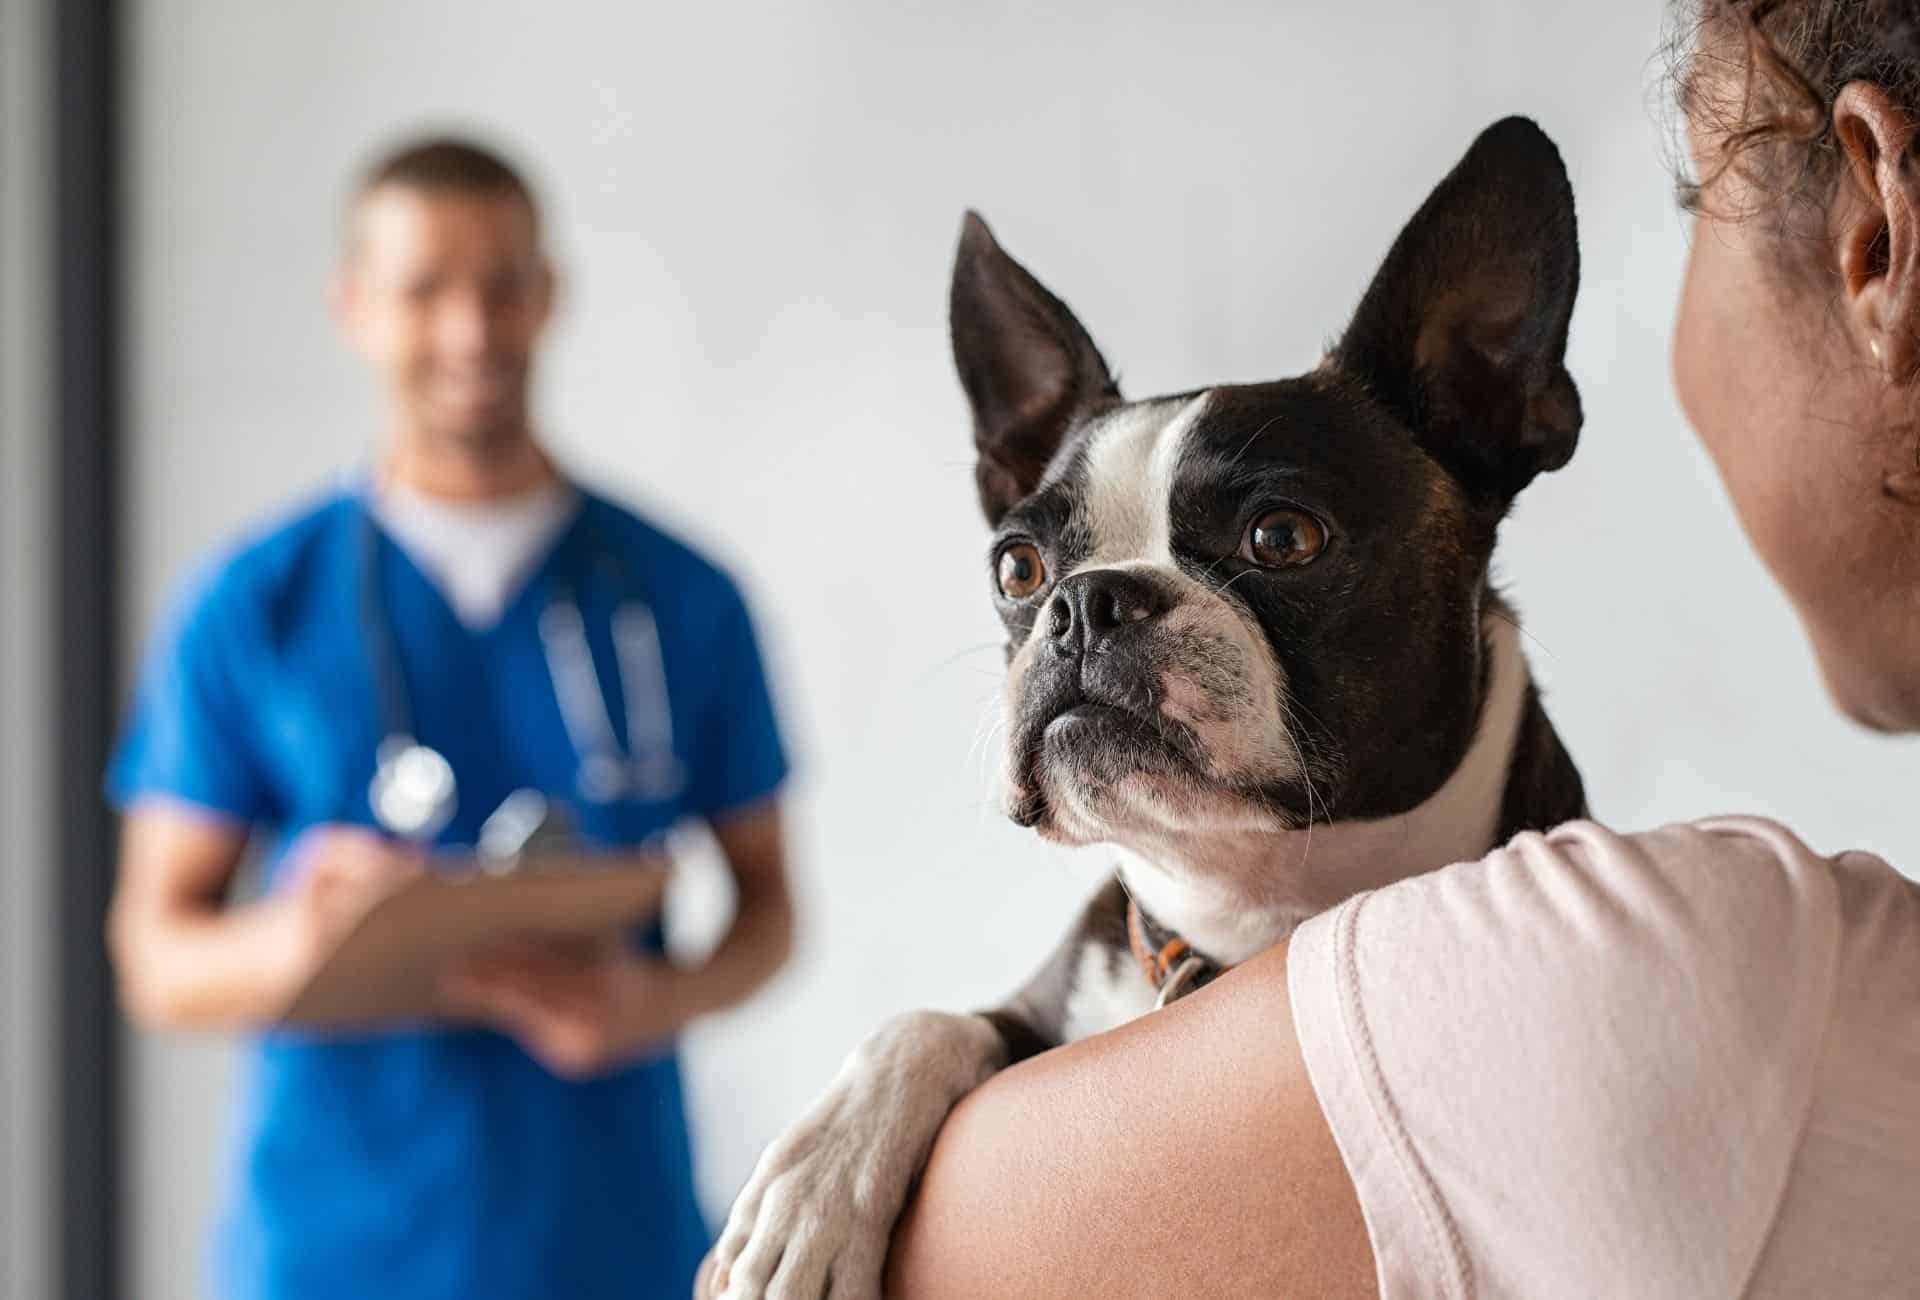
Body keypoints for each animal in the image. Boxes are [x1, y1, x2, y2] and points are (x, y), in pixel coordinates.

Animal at [706, 116, 1589, 1290]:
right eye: (1019, 566)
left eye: (1284, 536)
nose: (1084, 603)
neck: (1236, 910)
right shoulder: (1034, 1004)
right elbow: (929, 1022)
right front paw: (811, 1189)